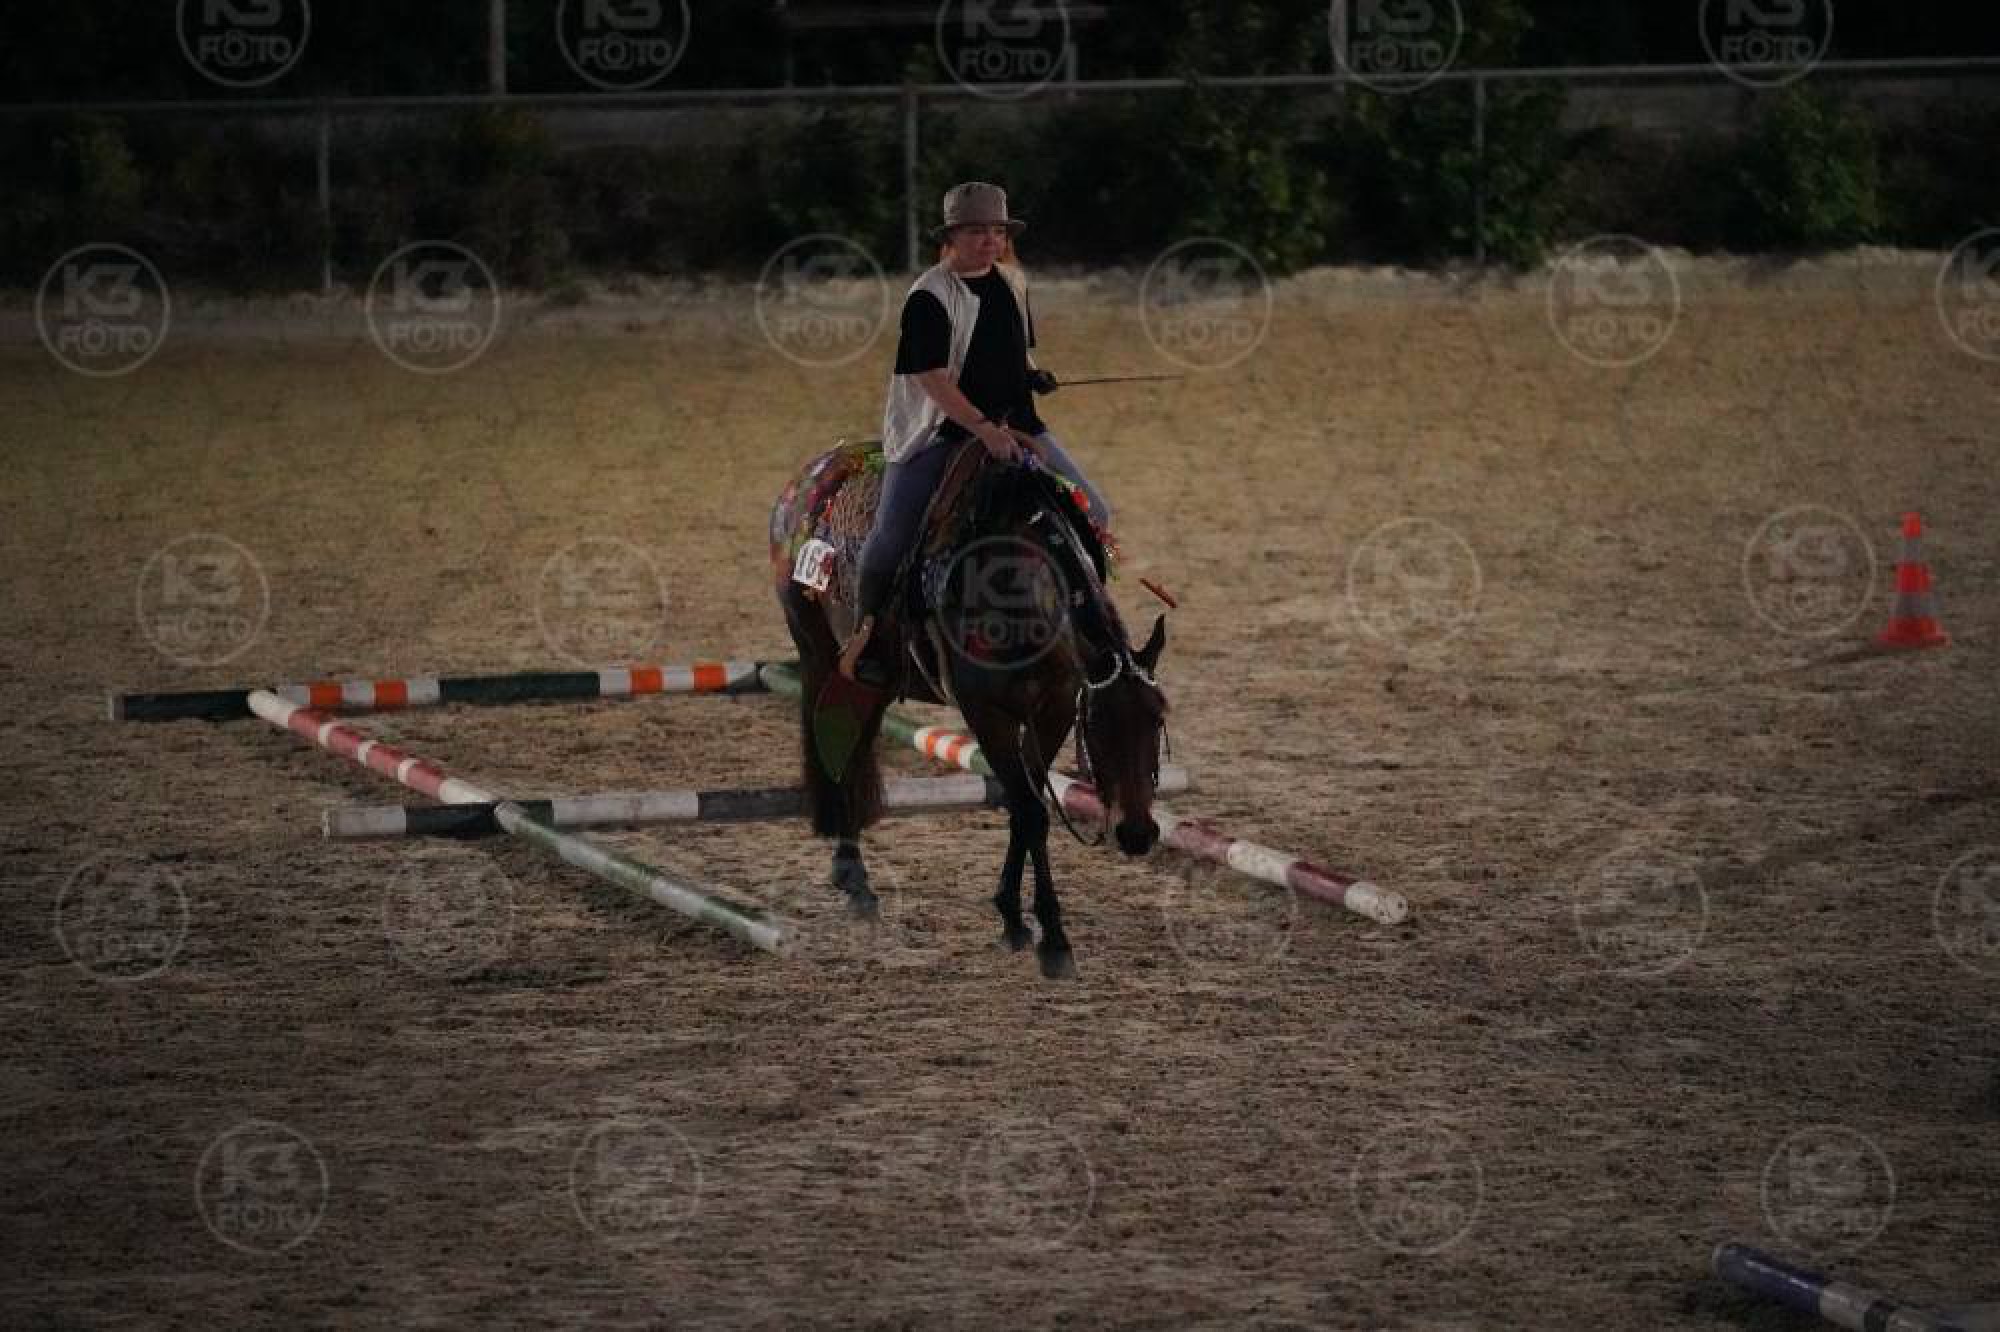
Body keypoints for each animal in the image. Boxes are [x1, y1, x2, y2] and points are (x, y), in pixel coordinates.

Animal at [769, 437, 1169, 979]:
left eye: (1158, 718)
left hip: (874, 681)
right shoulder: (987, 713)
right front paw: (1050, 938)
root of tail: (812, 472)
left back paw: (852, 875)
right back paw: (854, 874)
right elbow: (1030, 810)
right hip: (818, 654)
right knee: (836, 750)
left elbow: (1027, 806)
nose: (1137, 833)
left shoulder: (1053, 707)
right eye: (1098, 726)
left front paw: (1014, 915)